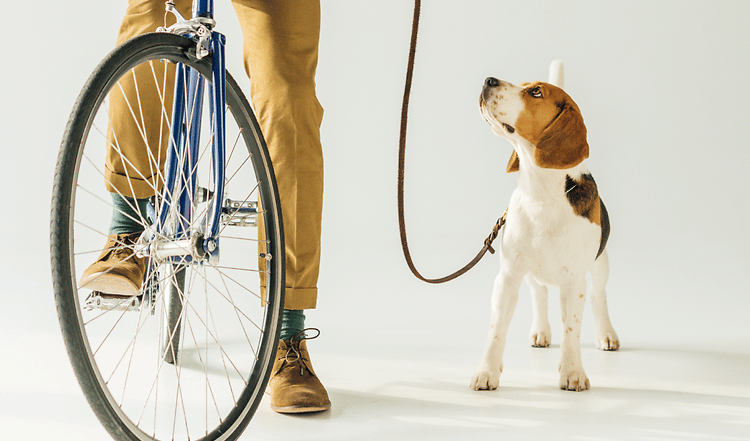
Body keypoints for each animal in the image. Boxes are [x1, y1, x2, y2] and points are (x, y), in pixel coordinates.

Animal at [472, 63, 620, 390]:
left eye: (536, 92)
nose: (488, 80)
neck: (540, 194)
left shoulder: (574, 283)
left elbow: (572, 331)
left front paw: (573, 373)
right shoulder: (507, 278)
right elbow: (496, 331)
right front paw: (486, 372)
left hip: (600, 263)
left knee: (599, 296)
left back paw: (606, 333)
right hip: (530, 273)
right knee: (539, 295)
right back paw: (541, 331)